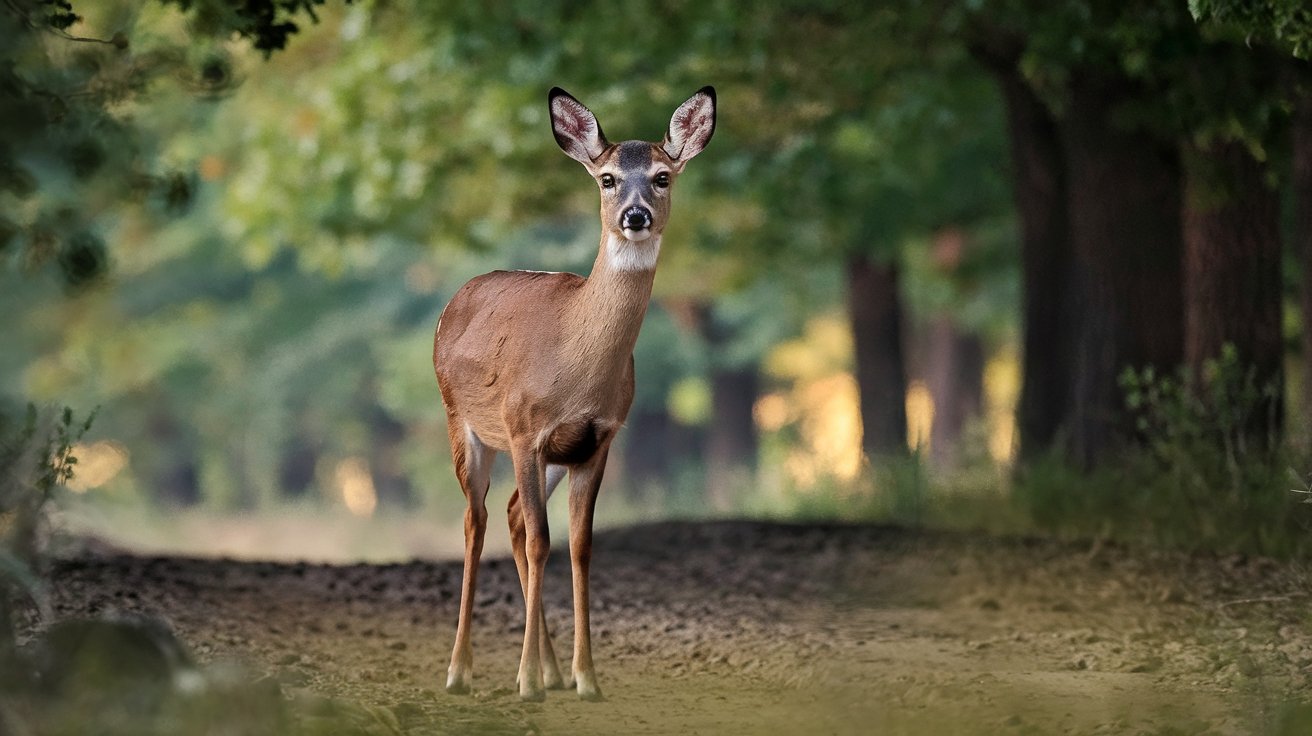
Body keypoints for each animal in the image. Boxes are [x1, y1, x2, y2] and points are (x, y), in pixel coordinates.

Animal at [432, 85, 718, 697]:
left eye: (662, 176)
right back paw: (461, 671)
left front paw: (586, 678)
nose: (636, 215)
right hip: (461, 420)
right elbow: (543, 542)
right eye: (607, 178)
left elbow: (580, 546)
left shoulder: (597, 440)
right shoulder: (524, 430)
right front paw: (526, 683)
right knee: (476, 521)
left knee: (513, 516)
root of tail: (459, 296)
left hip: (544, 457)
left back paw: (552, 670)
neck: (575, 363)